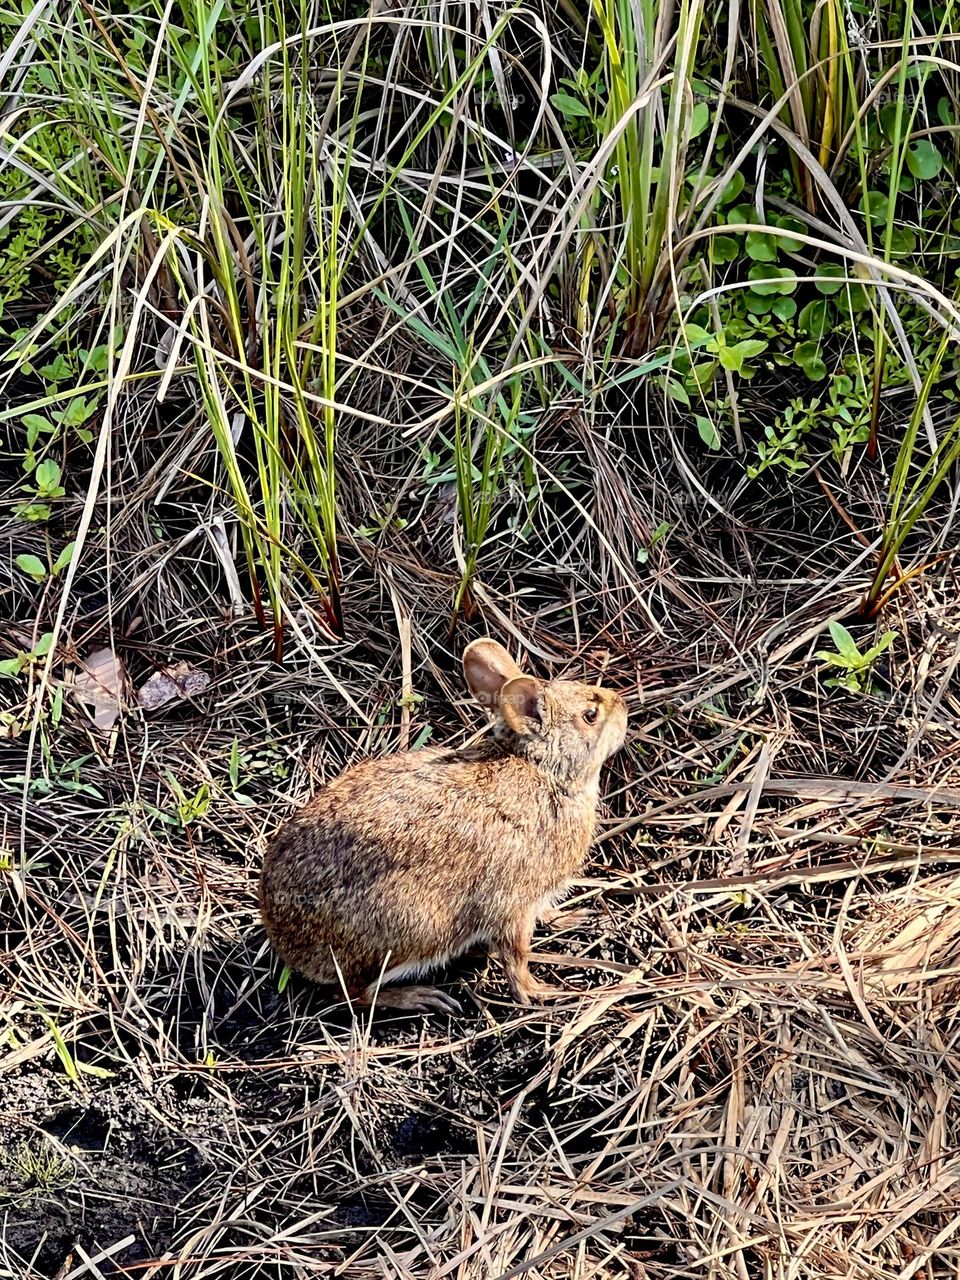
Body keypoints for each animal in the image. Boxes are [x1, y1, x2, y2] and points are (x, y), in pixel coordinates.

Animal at [257, 634, 632, 1013]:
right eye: (590, 716)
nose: (623, 705)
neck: (546, 771)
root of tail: (282, 936)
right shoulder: (513, 905)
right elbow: (516, 956)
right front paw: (539, 992)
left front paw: (569, 917)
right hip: (415, 927)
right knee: (353, 992)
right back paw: (421, 997)